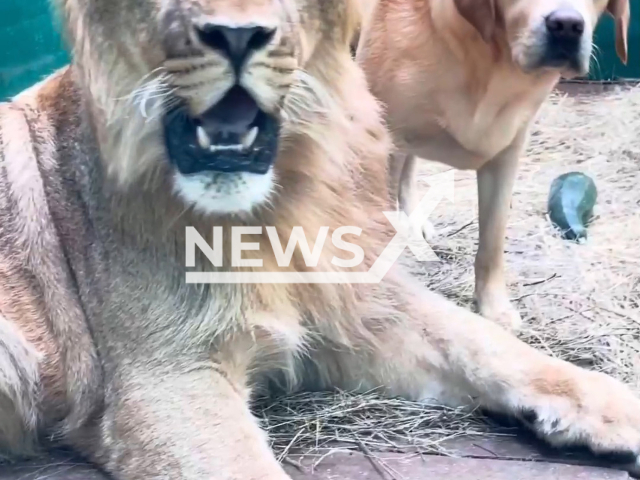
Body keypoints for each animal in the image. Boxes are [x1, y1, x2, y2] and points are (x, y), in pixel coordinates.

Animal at [358, 0, 628, 330]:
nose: (566, 26)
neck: (491, 61)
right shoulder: (386, 138)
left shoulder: (506, 154)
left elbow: (492, 239)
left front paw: (492, 305)